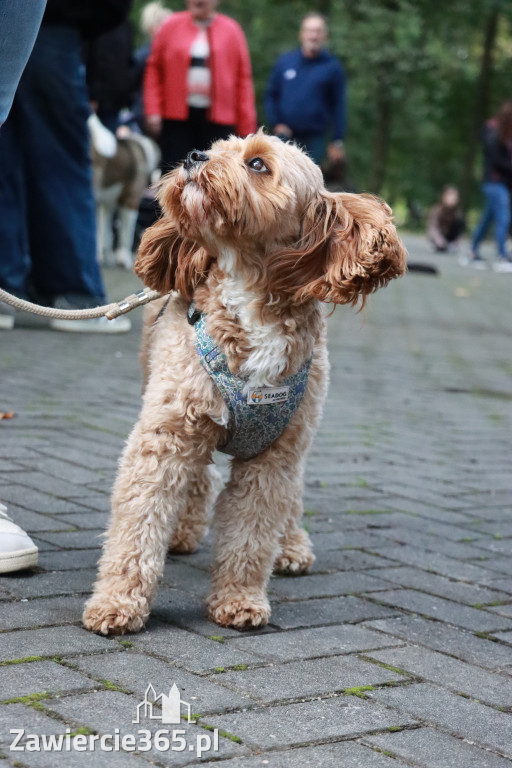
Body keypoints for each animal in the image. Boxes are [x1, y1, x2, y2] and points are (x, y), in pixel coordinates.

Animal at [82, 132, 406, 636]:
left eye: (257, 164)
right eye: (217, 147)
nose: (194, 156)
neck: (249, 296)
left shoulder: (272, 457)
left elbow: (252, 536)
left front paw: (239, 599)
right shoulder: (166, 435)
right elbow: (137, 528)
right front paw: (117, 603)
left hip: (297, 438)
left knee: (289, 496)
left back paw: (291, 546)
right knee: (199, 478)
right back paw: (184, 532)